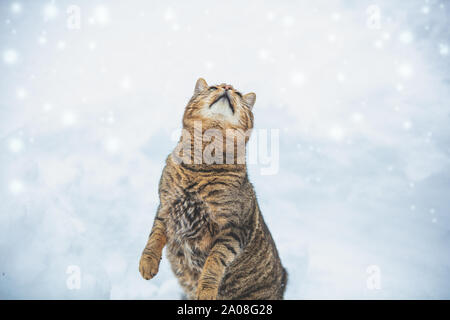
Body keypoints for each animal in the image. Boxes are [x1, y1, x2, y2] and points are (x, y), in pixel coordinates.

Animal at [139, 77, 288, 300]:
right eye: (212, 87)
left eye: (238, 93)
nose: (227, 86)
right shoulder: (166, 207)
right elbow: (154, 237)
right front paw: (147, 263)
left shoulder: (233, 229)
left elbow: (214, 262)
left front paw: (207, 290)